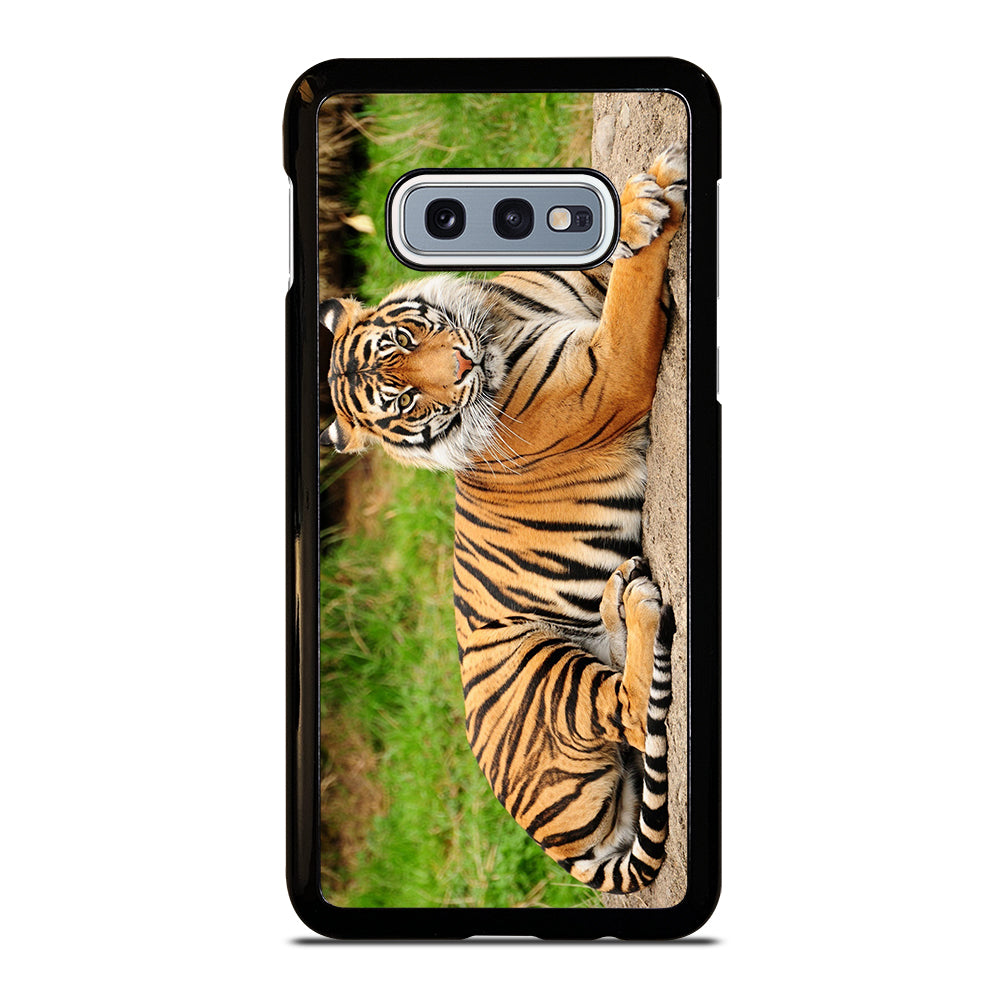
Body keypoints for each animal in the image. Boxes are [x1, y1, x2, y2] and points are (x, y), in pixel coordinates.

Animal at [319, 145, 686, 893]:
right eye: (402, 400)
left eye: (405, 336)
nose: (463, 365)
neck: (497, 321)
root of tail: (560, 849)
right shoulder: (608, 372)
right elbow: (633, 286)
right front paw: (646, 207)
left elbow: (603, 252)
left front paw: (637, 201)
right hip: (541, 668)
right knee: (634, 712)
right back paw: (637, 605)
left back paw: (619, 595)